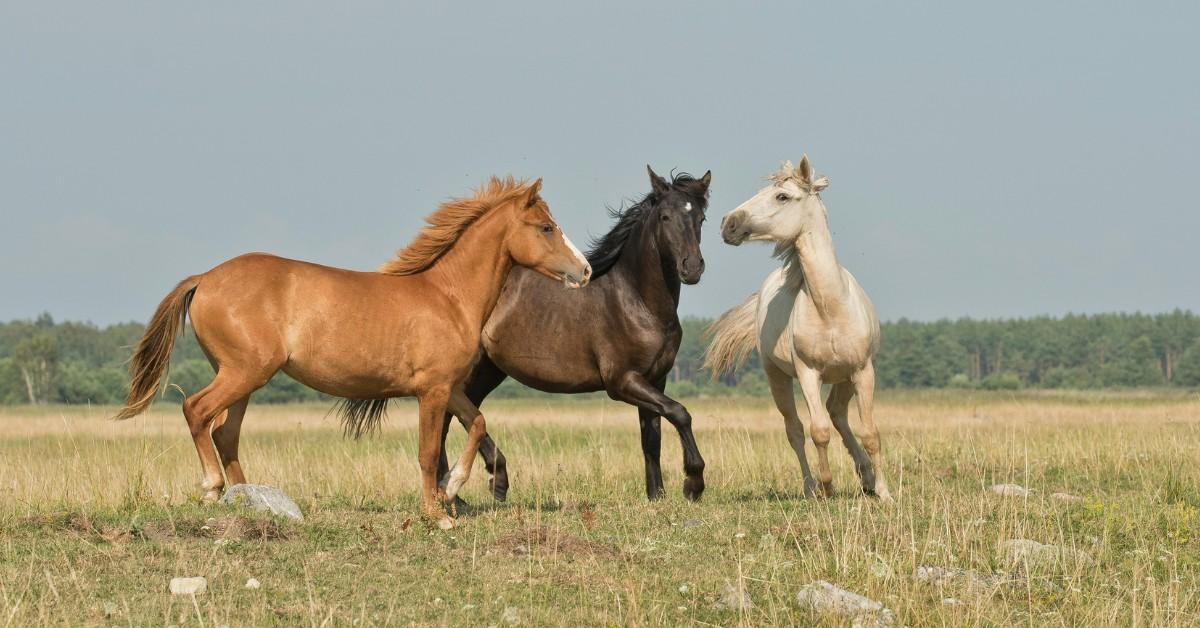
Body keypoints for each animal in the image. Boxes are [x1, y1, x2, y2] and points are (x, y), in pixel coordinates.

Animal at [114, 177, 592, 529]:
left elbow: (477, 423)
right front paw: (436, 514)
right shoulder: (432, 391)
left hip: (243, 378)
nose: (585, 270)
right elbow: (427, 452)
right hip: (243, 373)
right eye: (546, 227)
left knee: (225, 433)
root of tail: (206, 278)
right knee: (197, 411)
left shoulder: (450, 387)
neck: (448, 297)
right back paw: (213, 489)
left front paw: (452, 489)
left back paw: (250, 500)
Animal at [344, 166, 712, 502]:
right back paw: (475, 486)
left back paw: (472, 487)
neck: (635, 300)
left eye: (701, 218)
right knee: (449, 420)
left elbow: (652, 437)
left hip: (486, 371)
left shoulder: (654, 379)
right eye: (665, 216)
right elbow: (680, 413)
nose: (692, 268)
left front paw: (657, 496)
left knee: (456, 418)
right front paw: (692, 484)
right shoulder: (622, 381)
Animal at [705, 156, 891, 501]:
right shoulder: (808, 374)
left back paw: (866, 477)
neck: (830, 308)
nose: (728, 223)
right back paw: (811, 487)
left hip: (845, 377)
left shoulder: (863, 371)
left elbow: (870, 432)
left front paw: (884, 493)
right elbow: (818, 431)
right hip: (777, 377)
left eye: (782, 196)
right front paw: (827, 487)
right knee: (796, 430)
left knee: (838, 413)